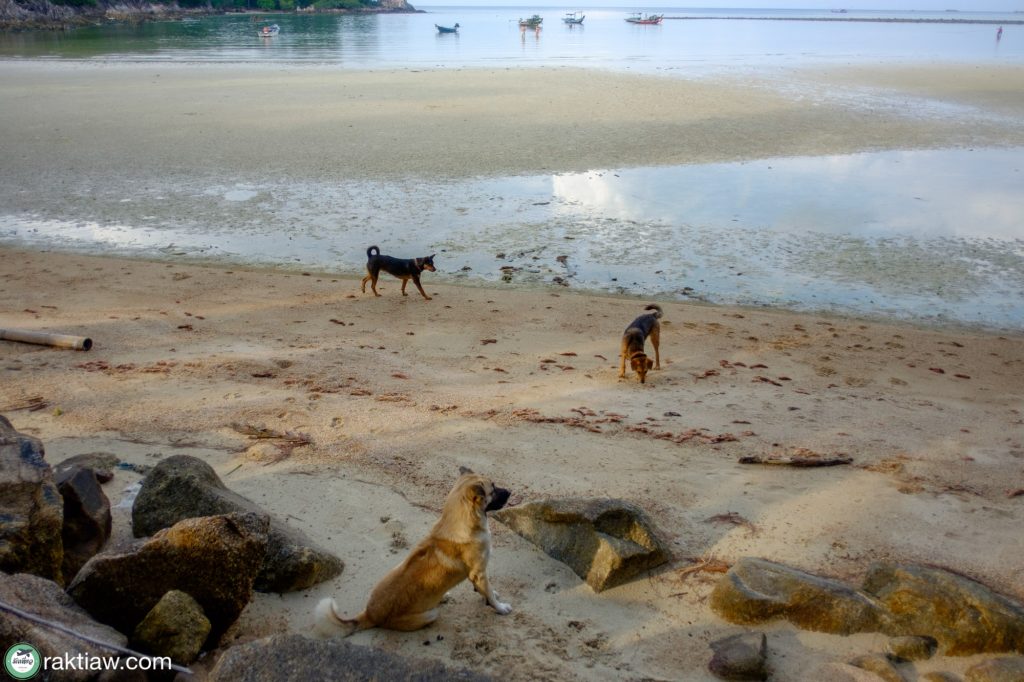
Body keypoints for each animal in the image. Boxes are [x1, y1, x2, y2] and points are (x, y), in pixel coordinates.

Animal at [311, 464, 512, 634]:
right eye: (493, 488)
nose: (510, 492)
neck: (462, 522)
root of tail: (370, 614)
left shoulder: (480, 575)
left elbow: (486, 590)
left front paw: (490, 595)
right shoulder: (478, 573)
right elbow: (489, 594)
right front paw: (499, 607)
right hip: (430, 614)